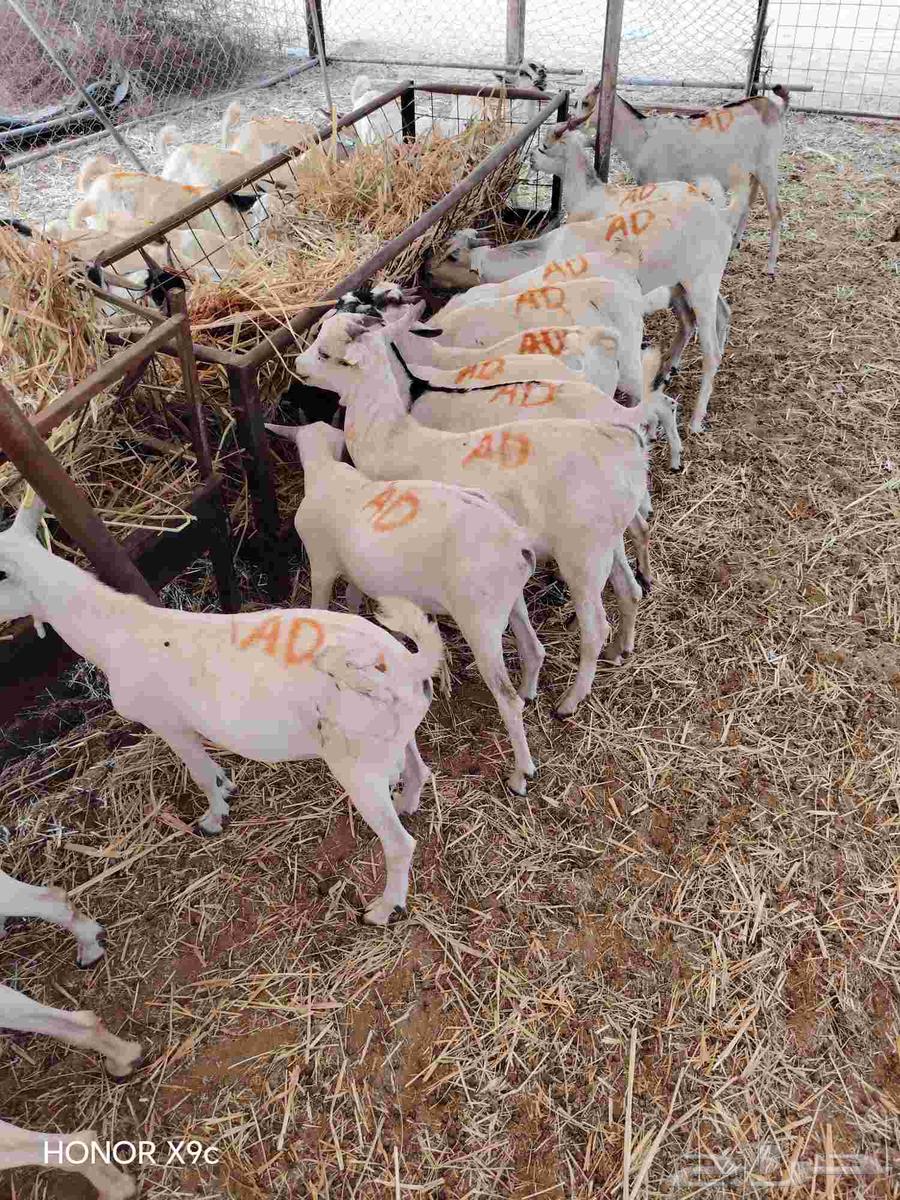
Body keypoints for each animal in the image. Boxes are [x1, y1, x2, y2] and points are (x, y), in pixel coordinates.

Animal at [0, 497, 442, 925]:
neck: (114, 634)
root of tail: (409, 664)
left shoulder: (167, 723)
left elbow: (198, 772)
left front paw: (213, 819)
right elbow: (209, 769)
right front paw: (227, 787)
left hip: (357, 764)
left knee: (399, 843)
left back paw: (383, 909)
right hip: (396, 734)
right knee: (419, 769)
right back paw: (406, 804)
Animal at [267, 421, 545, 794]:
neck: (326, 472)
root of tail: (519, 544)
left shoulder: (322, 567)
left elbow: (320, 604)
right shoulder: (357, 574)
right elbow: (352, 603)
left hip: (480, 621)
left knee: (507, 699)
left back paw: (520, 773)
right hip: (512, 602)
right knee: (534, 648)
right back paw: (529, 692)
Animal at [291, 311, 650, 717]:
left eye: (325, 352)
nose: (297, 365)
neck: (391, 436)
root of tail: (623, 439)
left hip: (582, 557)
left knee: (594, 628)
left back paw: (570, 700)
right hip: (606, 540)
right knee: (629, 589)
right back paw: (619, 649)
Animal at [572, 83, 789, 274]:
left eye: (585, 102)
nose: (572, 122)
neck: (643, 137)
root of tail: (771, 107)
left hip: (768, 167)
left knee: (776, 212)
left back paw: (770, 266)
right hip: (752, 172)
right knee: (746, 205)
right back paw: (733, 246)